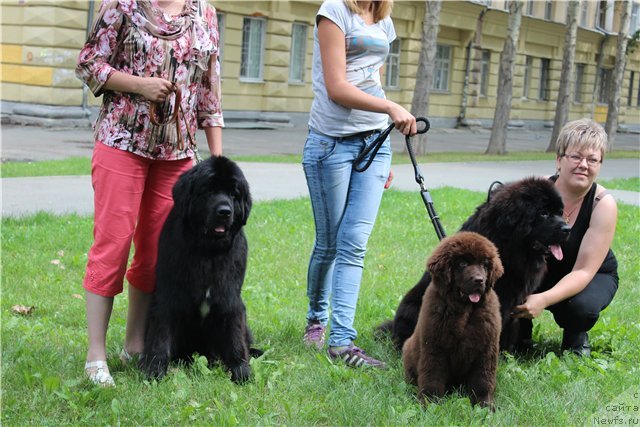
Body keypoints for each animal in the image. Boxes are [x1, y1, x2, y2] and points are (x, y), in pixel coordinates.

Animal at [141, 155, 258, 382]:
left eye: (234, 194)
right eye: (209, 191)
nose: (225, 212)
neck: (207, 252)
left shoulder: (230, 298)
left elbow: (234, 337)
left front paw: (241, 371)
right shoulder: (167, 296)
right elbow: (160, 337)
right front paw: (154, 370)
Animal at [404, 232, 504, 410]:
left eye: (485, 265)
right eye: (462, 263)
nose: (479, 280)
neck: (465, 310)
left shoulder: (487, 349)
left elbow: (483, 380)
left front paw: (485, 405)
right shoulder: (434, 347)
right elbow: (432, 377)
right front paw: (430, 404)